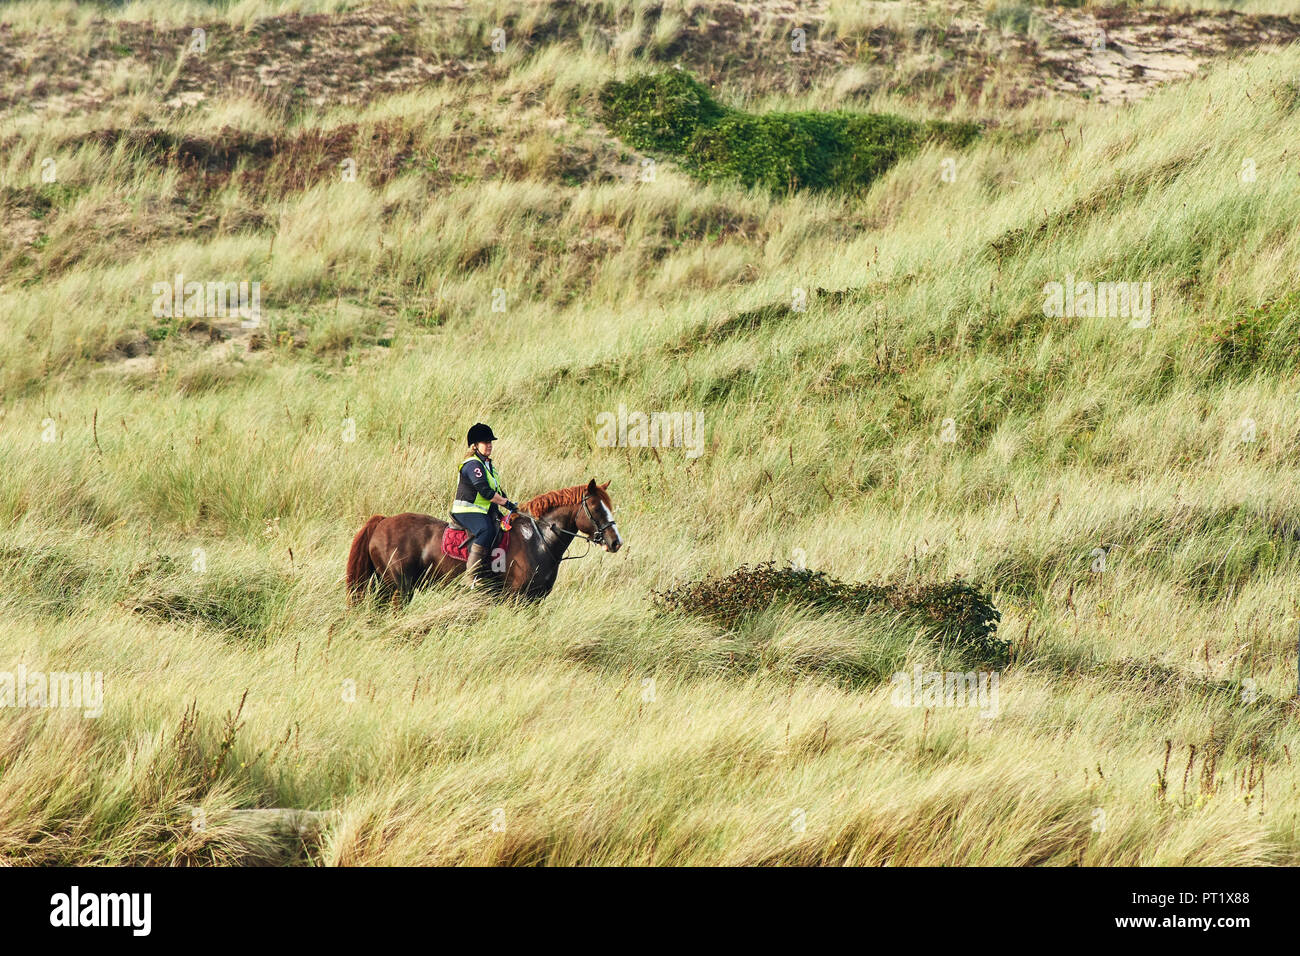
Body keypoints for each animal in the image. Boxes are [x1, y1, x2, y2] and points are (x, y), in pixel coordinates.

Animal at [345, 479, 622, 605]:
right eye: (596, 508)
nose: (615, 542)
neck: (538, 539)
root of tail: (382, 522)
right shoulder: (516, 599)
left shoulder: (535, 600)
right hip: (399, 588)